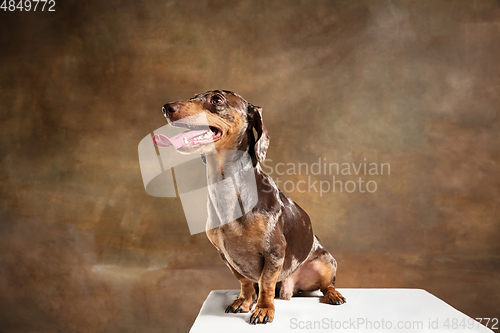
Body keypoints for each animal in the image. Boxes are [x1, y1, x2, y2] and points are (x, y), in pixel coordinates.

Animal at [154, 89, 346, 322]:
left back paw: (333, 294)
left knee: (327, 285)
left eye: (217, 100)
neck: (227, 188)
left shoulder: (274, 251)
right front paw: (245, 301)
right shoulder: (225, 255)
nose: (166, 108)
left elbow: (266, 284)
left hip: (325, 261)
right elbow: (245, 281)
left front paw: (263, 308)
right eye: (193, 96)